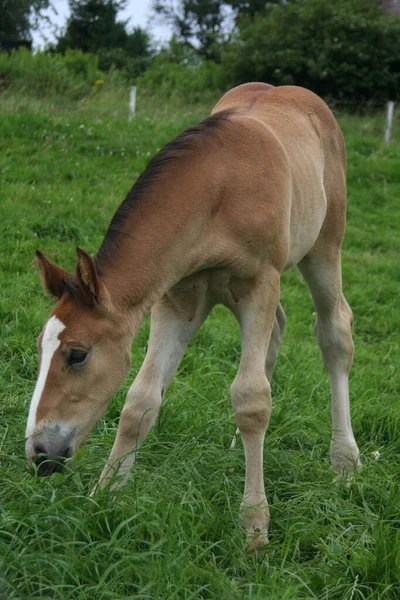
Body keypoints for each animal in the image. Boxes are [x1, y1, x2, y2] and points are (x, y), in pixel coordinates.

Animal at [26, 84, 360, 548]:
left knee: (334, 332)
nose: (40, 455)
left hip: (325, 247)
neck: (219, 188)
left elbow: (251, 399)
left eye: (77, 354)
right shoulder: (177, 298)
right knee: (276, 330)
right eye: (40, 348)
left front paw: (254, 525)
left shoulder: (260, 282)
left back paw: (344, 461)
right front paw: (105, 494)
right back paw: (240, 445)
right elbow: (140, 401)